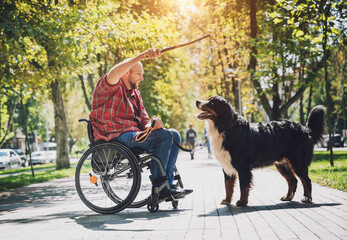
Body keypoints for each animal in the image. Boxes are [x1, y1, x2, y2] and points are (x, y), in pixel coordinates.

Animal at [197, 95, 328, 206]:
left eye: (212, 102)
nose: (197, 101)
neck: (226, 128)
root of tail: (305, 129)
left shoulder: (243, 167)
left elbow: (243, 187)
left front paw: (242, 202)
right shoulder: (227, 166)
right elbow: (228, 186)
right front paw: (227, 200)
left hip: (298, 162)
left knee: (306, 180)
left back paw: (306, 198)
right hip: (282, 164)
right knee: (293, 181)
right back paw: (287, 197)